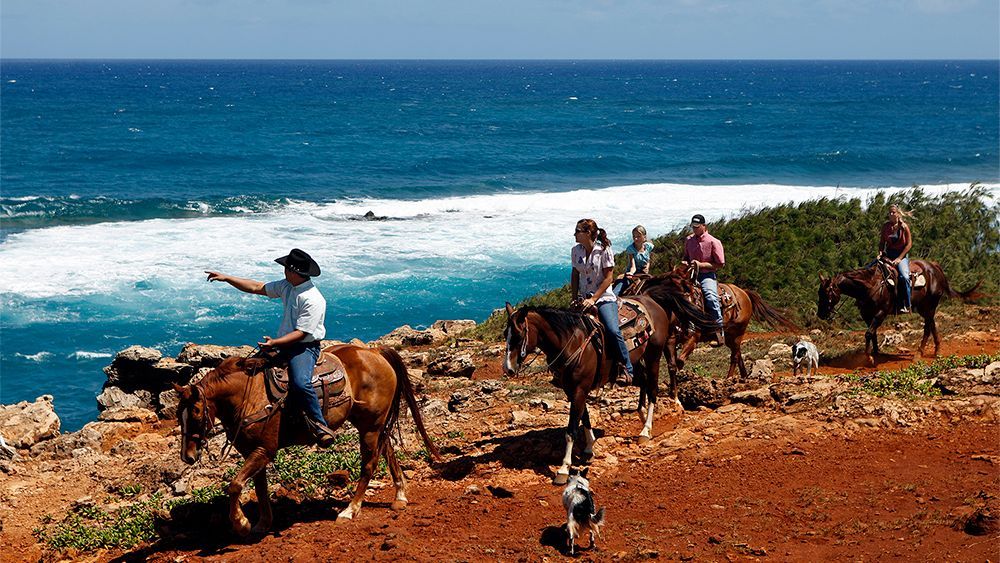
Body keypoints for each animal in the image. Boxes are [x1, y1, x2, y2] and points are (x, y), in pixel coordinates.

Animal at [174, 344, 440, 536]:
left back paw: (350, 510)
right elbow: (259, 487)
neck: (249, 396)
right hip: (369, 423)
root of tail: (375, 353)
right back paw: (400, 496)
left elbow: (235, 485)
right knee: (388, 450)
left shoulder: (265, 450)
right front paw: (263, 523)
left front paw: (241, 524)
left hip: (370, 426)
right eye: (179, 414)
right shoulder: (253, 451)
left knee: (369, 464)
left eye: (196, 412)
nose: (187, 456)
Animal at [504, 294, 716, 482]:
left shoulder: (580, 388)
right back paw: (640, 413)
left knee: (653, 388)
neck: (571, 342)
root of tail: (652, 300)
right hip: (635, 361)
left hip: (653, 355)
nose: (507, 369)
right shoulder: (572, 390)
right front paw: (590, 448)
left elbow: (571, 430)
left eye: (518, 335)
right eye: (506, 335)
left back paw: (645, 430)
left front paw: (563, 469)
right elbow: (585, 417)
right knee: (643, 381)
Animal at [640, 266, 796, 382]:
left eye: (686, 289)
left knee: (734, 357)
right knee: (738, 354)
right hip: (729, 337)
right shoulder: (670, 341)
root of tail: (744, 292)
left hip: (737, 333)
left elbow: (679, 361)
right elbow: (672, 364)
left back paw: (729, 378)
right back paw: (744, 376)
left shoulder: (693, 338)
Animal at [820, 258, 984, 364]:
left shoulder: (881, 313)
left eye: (827, 292)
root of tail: (935, 268)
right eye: (819, 292)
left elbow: (868, 333)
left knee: (927, 328)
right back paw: (937, 350)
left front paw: (870, 358)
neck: (871, 285)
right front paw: (876, 354)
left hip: (930, 306)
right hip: (923, 308)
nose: (821, 314)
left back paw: (919, 354)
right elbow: (872, 334)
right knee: (932, 325)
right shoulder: (866, 314)